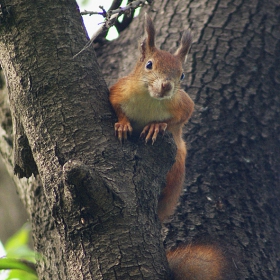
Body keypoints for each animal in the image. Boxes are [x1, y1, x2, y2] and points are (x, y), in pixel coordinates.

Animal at [109, 13, 228, 280]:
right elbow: (117, 107)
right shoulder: (117, 90)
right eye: (149, 65)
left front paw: (156, 126)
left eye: (182, 75)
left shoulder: (183, 104)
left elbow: (176, 120)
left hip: (177, 164)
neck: (149, 100)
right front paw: (122, 124)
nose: (166, 86)